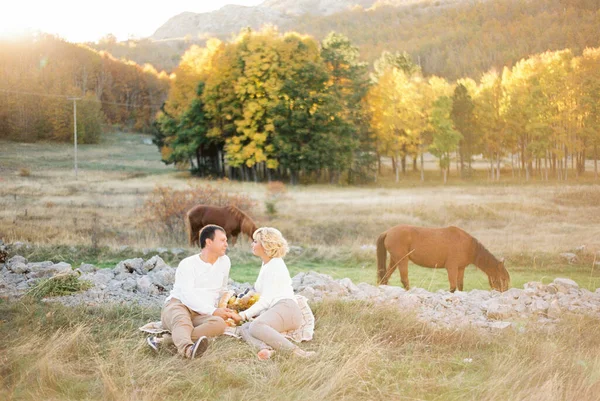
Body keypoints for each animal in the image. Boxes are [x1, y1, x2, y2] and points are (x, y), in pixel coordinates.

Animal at [378, 223, 508, 292]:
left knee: (385, 277)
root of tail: (388, 232)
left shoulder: (461, 268)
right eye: (503, 278)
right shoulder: (451, 268)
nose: (504, 291)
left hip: (394, 260)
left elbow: (460, 286)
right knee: (404, 280)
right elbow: (453, 287)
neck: (467, 245)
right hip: (402, 260)